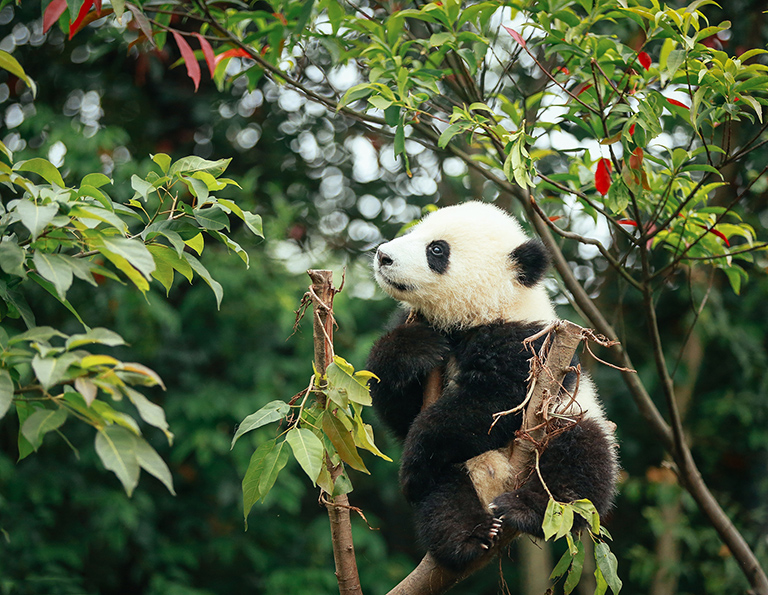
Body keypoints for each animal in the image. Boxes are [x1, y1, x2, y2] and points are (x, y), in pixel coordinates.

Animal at [366, 201, 618, 572]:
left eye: (437, 249)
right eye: (414, 232)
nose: (383, 256)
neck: (489, 307)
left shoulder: (529, 345)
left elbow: (491, 405)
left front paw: (413, 460)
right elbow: (399, 410)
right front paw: (413, 348)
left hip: (569, 419)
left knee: (581, 464)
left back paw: (524, 509)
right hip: (461, 470)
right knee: (443, 496)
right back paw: (467, 537)